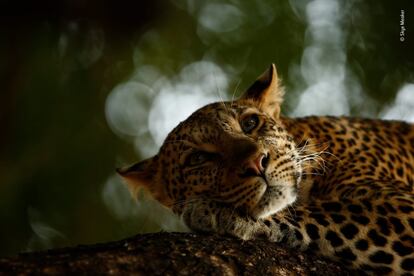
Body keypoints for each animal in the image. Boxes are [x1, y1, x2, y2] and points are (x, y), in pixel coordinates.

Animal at [117, 64, 414, 274]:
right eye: (198, 158)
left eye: (250, 123)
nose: (255, 163)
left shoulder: (401, 206)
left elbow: (322, 211)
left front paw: (213, 211)